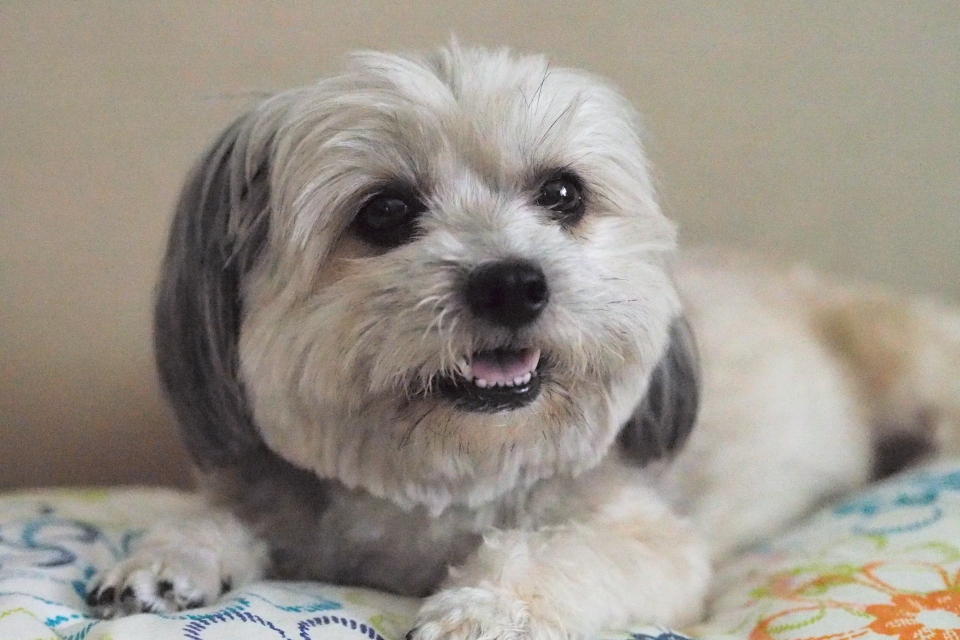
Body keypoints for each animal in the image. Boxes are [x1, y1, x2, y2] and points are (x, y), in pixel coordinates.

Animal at [86, 44, 960, 637]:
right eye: (384, 212)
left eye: (563, 194)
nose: (513, 282)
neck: (440, 483)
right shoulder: (272, 495)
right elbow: (216, 515)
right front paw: (168, 559)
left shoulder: (646, 537)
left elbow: (557, 557)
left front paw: (482, 608)